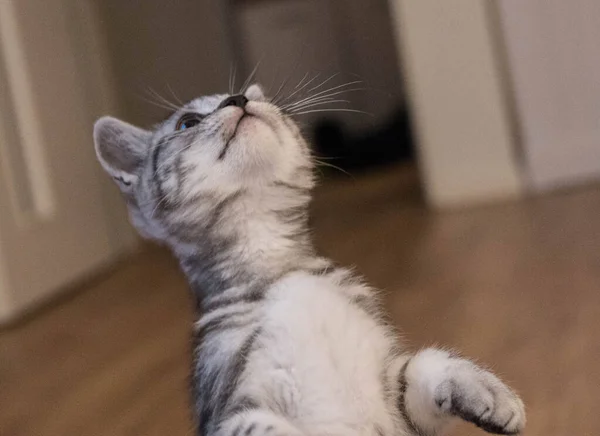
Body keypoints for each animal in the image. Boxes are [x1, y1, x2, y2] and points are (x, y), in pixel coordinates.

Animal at [92, 83, 524, 434]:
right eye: (188, 122)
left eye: (261, 99)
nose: (239, 99)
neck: (281, 274)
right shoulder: (230, 410)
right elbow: (262, 426)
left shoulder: (392, 391)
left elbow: (423, 365)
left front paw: (485, 390)